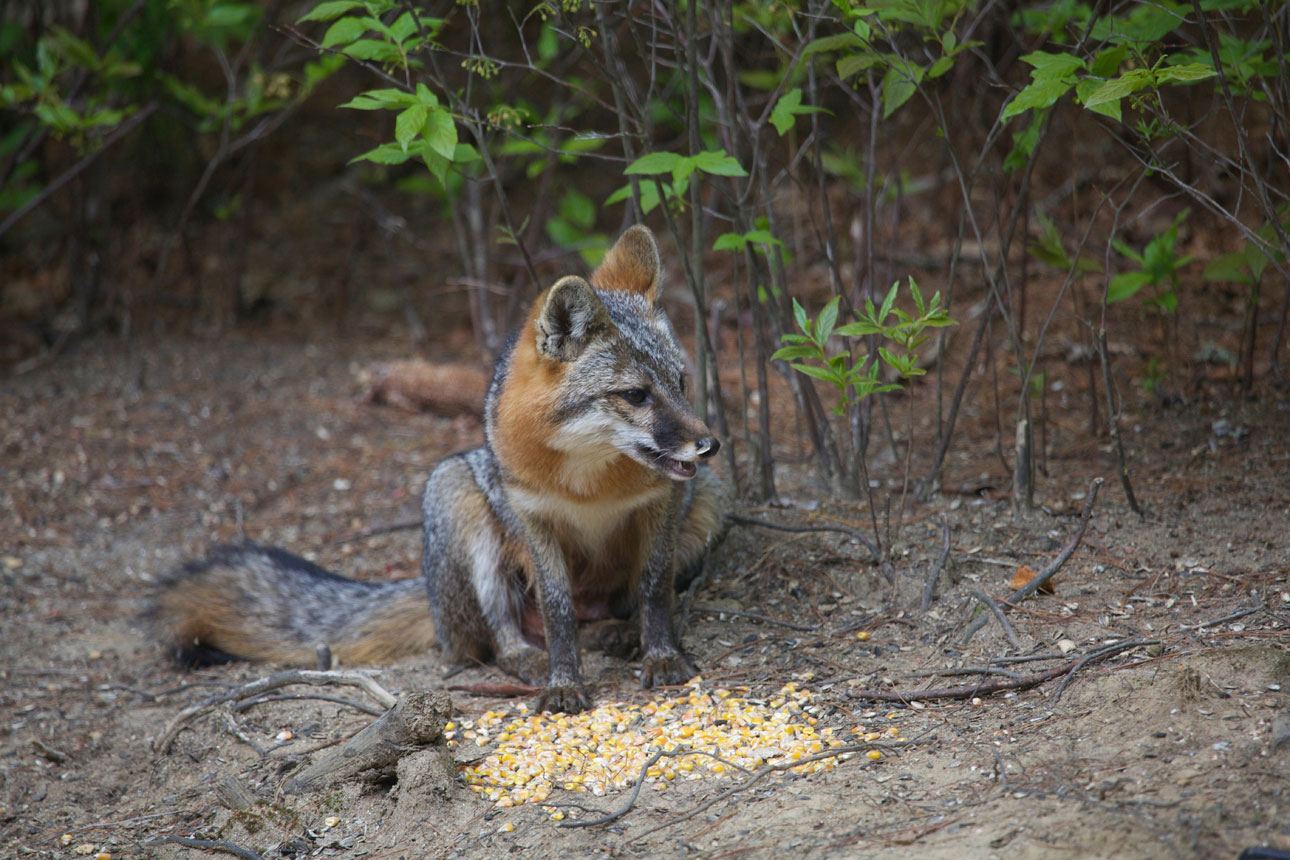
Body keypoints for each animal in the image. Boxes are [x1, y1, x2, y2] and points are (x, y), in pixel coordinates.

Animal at [153, 226, 727, 711]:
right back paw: (528, 658)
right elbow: (559, 611)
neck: (591, 485)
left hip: (707, 505)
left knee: (613, 607)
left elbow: (653, 588)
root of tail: (430, 601)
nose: (709, 445)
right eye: (635, 396)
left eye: (681, 382)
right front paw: (564, 681)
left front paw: (662, 655)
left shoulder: (662, 504)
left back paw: (617, 632)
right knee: (494, 640)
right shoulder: (534, 519)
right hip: (456, 498)